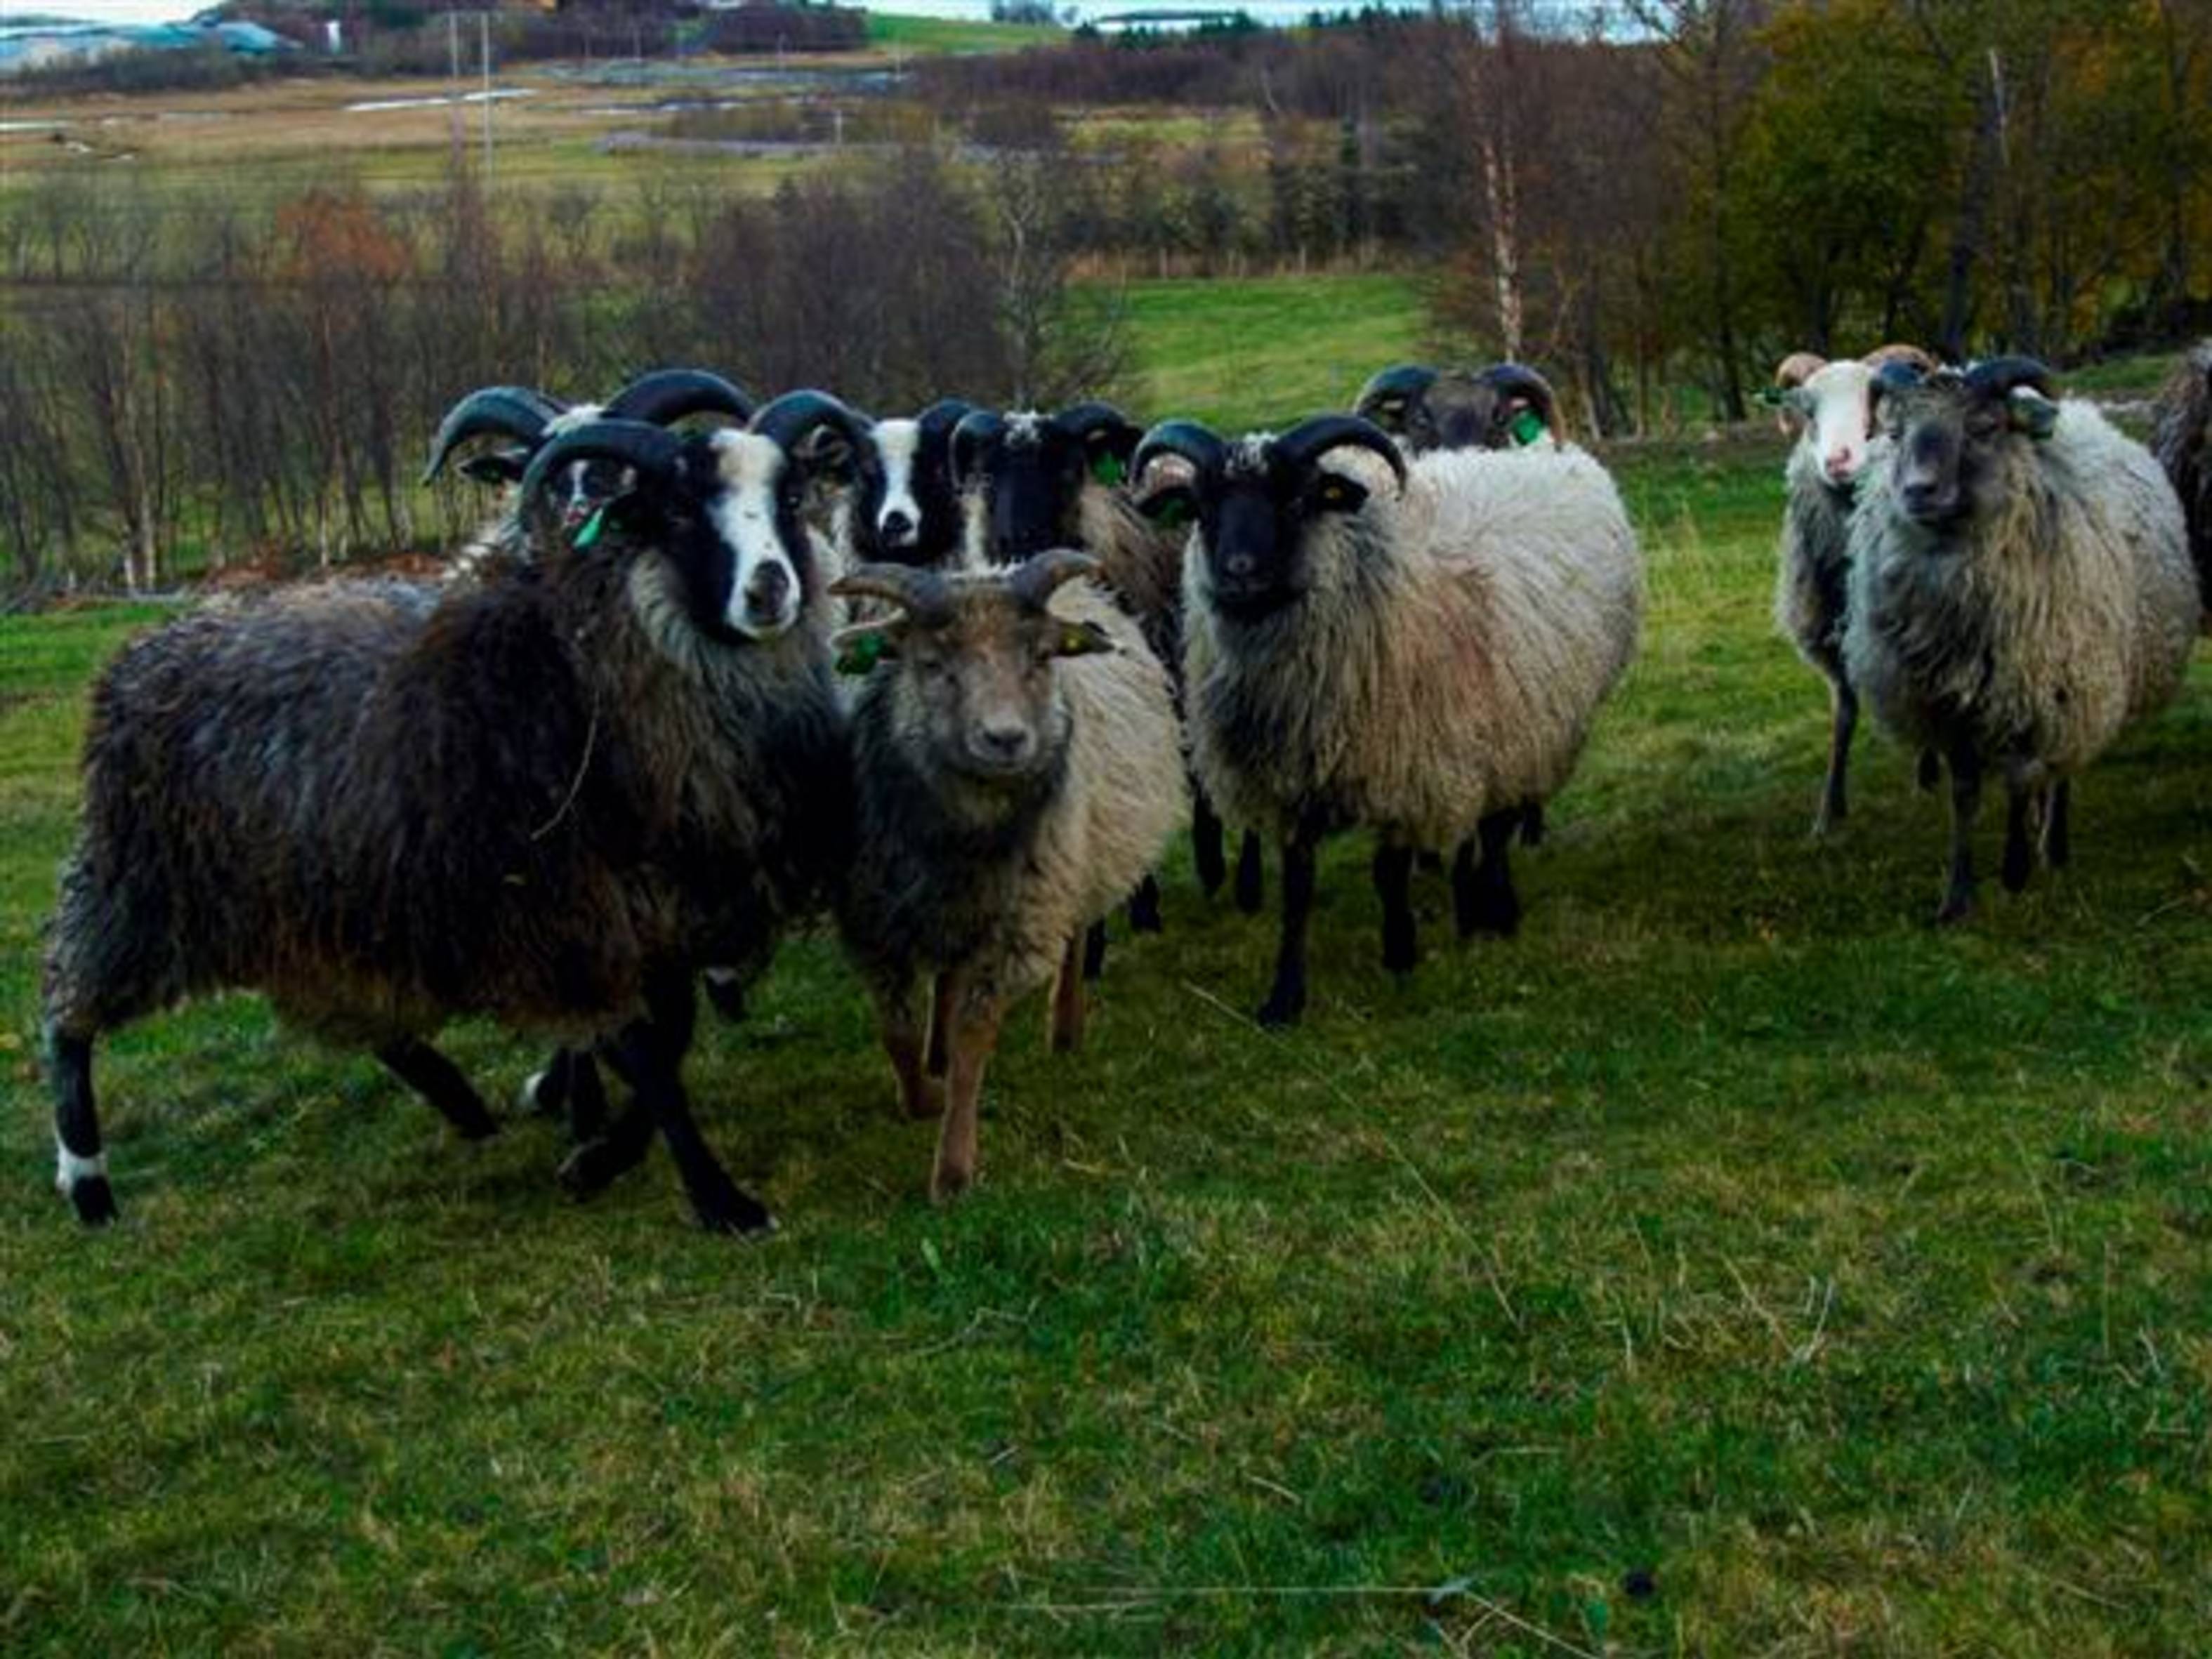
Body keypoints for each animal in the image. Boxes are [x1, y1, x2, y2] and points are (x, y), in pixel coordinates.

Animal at [822, 553, 1185, 1203]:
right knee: (948, 971)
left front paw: (953, 1168)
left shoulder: (1017, 929)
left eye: (1040, 657)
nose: (1007, 738)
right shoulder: (873, 924)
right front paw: (921, 1096)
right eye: (931, 663)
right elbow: (896, 1032)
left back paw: (1064, 1028)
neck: (963, 829)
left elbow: (974, 1040)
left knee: (1073, 942)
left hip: (1077, 864)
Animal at [1141, 414, 1645, 1026]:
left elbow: (1389, 869)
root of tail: (1548, 452)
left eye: (1297, 499)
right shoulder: (1294, 780)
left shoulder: (1405, 766)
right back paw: (1470, 907)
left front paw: (1400, 953)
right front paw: (1284, 997)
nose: (1239, 573)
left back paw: (1494, 910)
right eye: (1201, 506)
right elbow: (1298, 887)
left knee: (1494, 827)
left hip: (1514, 732)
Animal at [1840, 358, 2203, 924]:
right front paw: (1956, 897)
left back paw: (2052, 847)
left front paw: (2014, 871)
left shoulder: (2035, 697)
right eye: (1896, 432)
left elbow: (2018, 781)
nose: (1918, 491)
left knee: (2059, 772)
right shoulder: (1949, 712)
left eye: (1984, 427)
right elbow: (1964, 796)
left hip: (2078, 690)